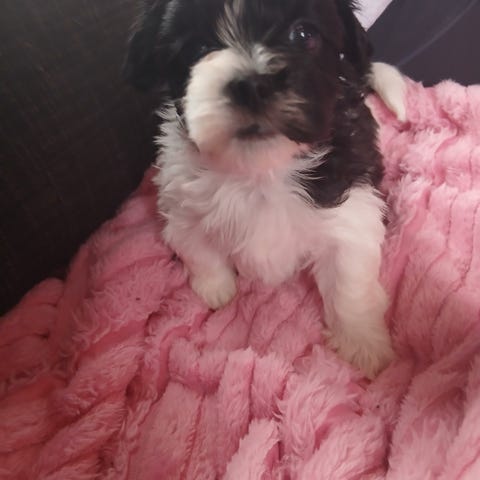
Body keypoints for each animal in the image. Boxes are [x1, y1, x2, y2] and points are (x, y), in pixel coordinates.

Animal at [124, 0, 406, 378]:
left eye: (304, 34)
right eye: (197, 48)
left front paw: (362, 343)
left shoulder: (351, 208)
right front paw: (216, 288)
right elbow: (198, 249)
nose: (252, 85)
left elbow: (349, 283)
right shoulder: (181, 201)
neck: (260, 170)